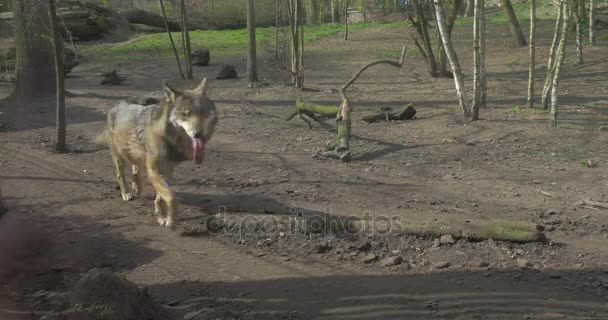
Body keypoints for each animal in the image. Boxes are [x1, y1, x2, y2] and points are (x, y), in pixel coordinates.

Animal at [95, 78, 216, 226]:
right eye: (185, 114)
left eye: (202, 113)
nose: (199, 135)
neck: (167, 137)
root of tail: (118, 104)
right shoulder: (154, 171)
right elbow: (171, 197)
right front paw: (170, 220)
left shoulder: (167, 171)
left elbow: (161, 196)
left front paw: (161, 215)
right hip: (119, 157)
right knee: (120, 175)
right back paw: (126, 193)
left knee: (135, 168)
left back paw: (137, 187)